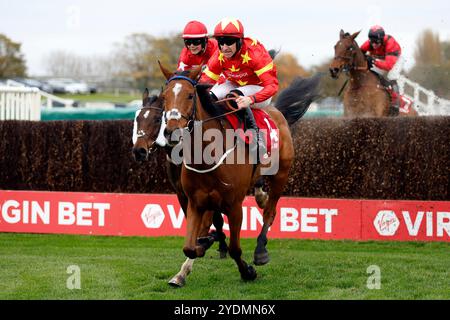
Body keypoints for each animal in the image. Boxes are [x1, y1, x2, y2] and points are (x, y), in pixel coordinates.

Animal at [158, 62, 320, 280]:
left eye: (190, 95)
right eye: (164, 96)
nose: (172, 132)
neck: (207, 156)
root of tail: (276, 111)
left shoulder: (234, 205)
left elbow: (235, 248)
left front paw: (248, 271)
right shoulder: (195, 202)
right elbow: (190, 247)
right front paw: (192, 259)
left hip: (281, 175)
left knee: (270, 212)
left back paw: (260, 250)